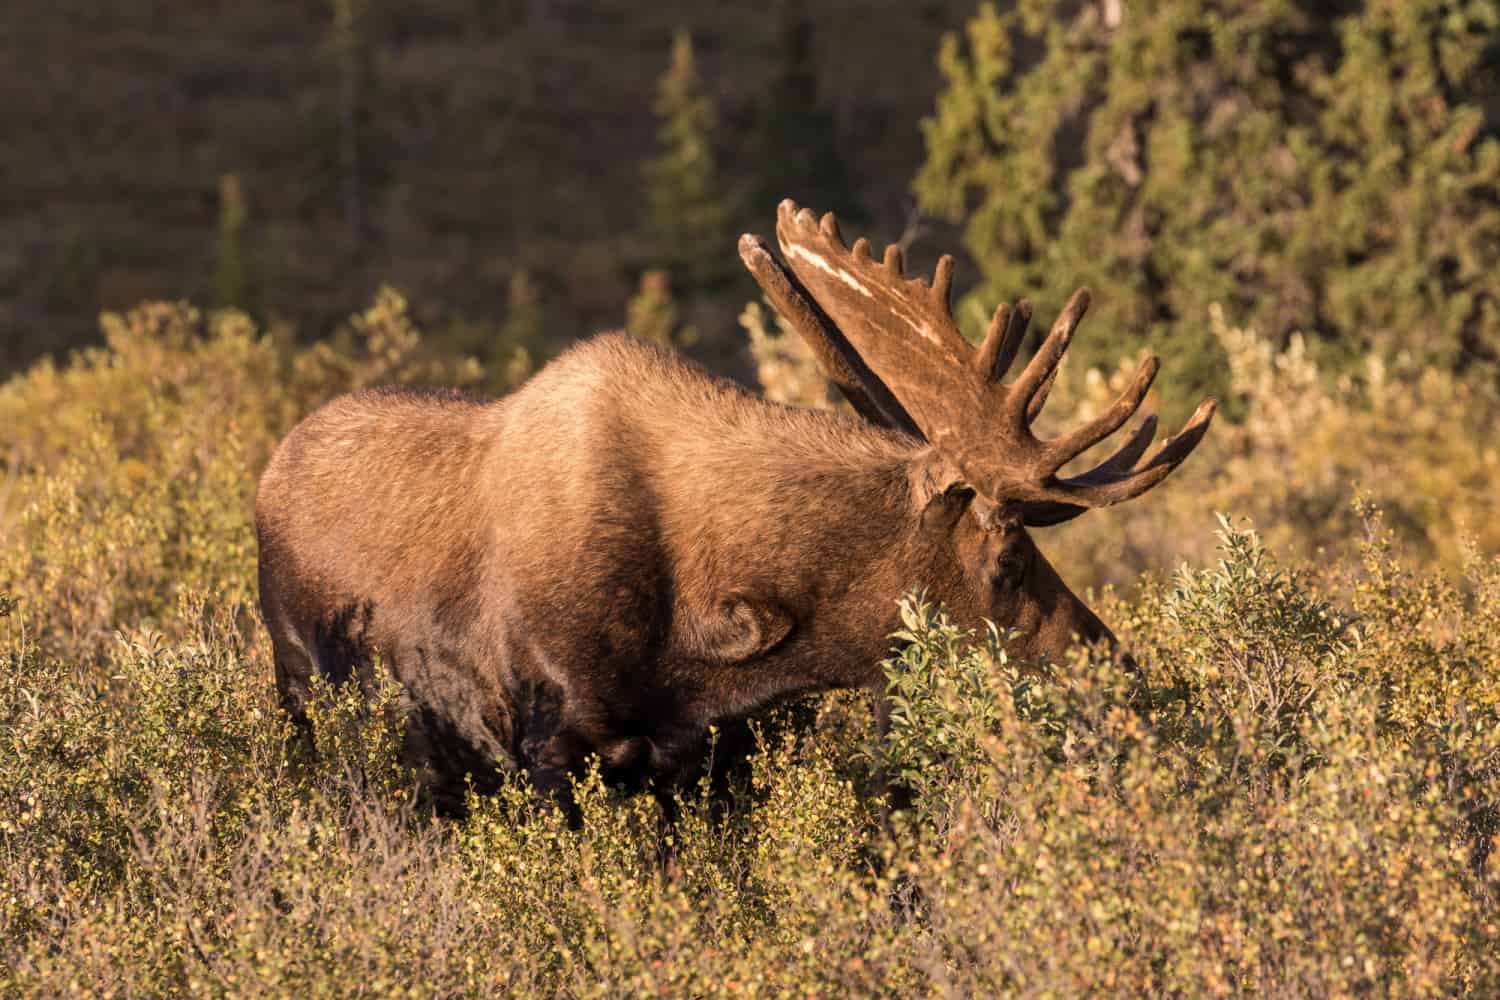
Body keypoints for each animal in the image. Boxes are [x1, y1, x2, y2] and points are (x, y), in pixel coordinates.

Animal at [255, 199, 1218, 809]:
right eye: (1009, 559)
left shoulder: (711, 758)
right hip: (307, 700)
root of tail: (270, 472)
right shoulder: (552, 749)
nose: (1122, 676)